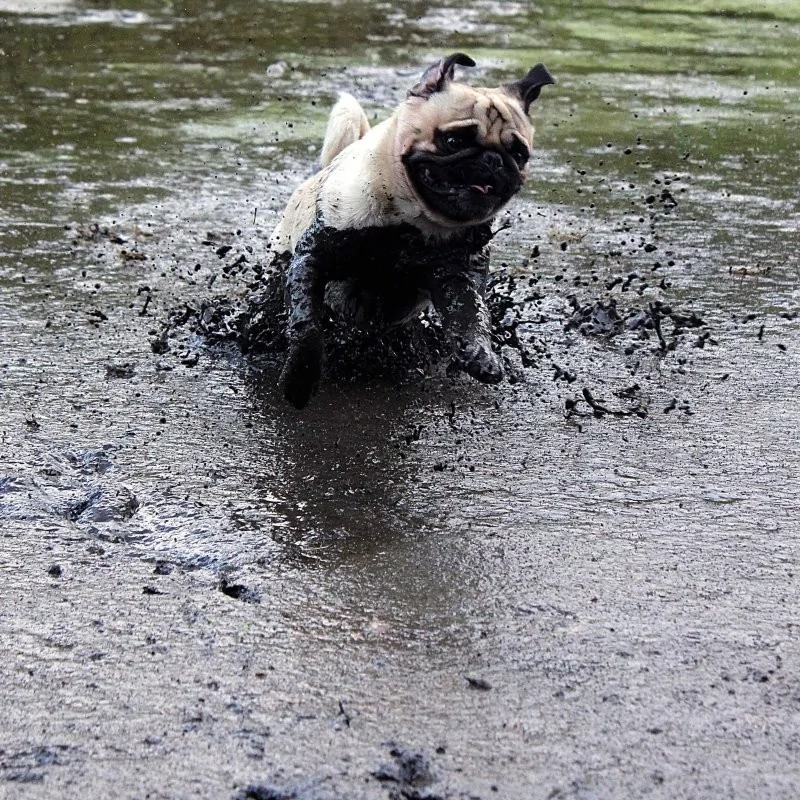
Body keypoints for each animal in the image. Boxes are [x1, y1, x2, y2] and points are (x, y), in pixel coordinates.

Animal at [266, 53, 552, 410]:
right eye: (454, 140)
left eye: (519, 155)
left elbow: (469, 316)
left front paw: (479, 354)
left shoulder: (456, 277)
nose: (494, 160)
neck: (413, 222)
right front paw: (300, 378)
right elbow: (307, 325)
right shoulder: (313, 260)